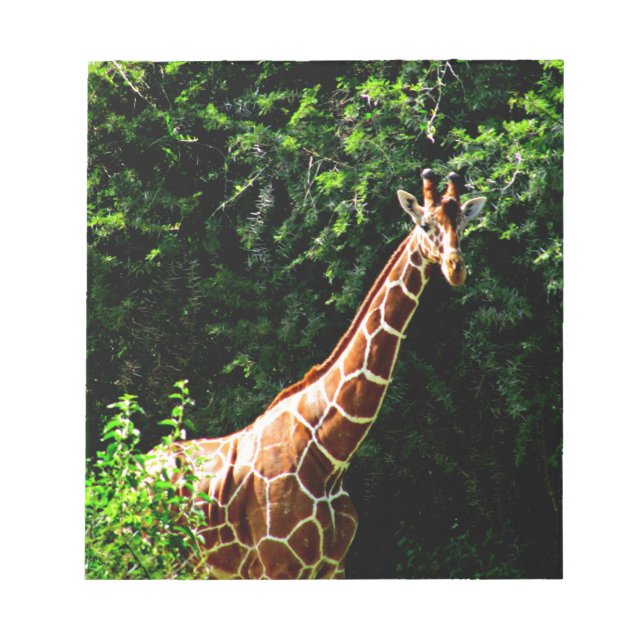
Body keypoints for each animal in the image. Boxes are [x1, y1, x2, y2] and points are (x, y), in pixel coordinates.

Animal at [148, 168, 486, 579]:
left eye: (464, 224)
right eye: (425, 224)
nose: (456, 268)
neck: (330, 455)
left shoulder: (333, 566)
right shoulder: (277, 566)